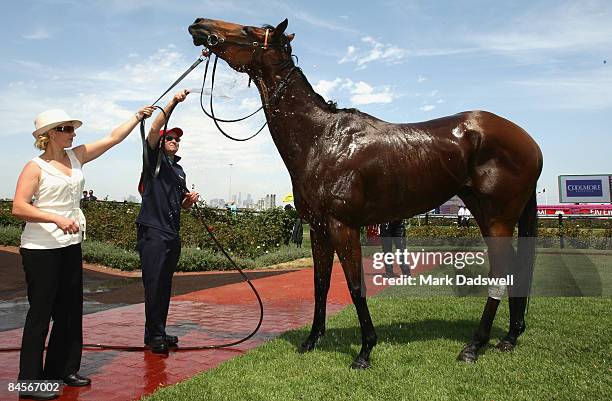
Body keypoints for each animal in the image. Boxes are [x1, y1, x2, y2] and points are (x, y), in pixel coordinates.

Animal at [189, 18, 544, 368]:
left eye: (249, 30)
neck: (322, 138)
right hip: (484, 212)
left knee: (501, 272)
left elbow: (355, 284)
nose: (199, 25)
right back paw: (510, 336)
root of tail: (531, 143)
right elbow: (320, 284)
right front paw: (311, 341)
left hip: (498, 218)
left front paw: (365, 350)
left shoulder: (342, 225)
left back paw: (475, 345)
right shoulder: (318, 228)